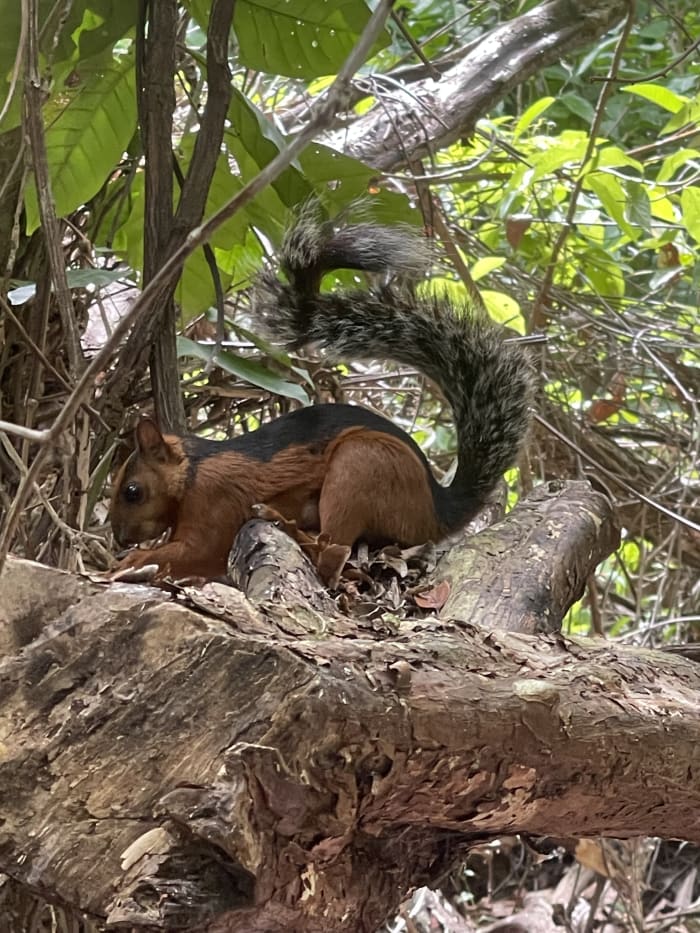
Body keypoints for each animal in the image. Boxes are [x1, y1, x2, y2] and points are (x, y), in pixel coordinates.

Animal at [110, 204, 535, 583]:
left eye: (132, 491)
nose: (119, 538)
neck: (193, 471)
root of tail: (439, 512)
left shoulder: (216, 499)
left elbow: (197, 550)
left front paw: (130, 562)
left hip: (362, 465)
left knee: (332, 552)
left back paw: (283, 523)